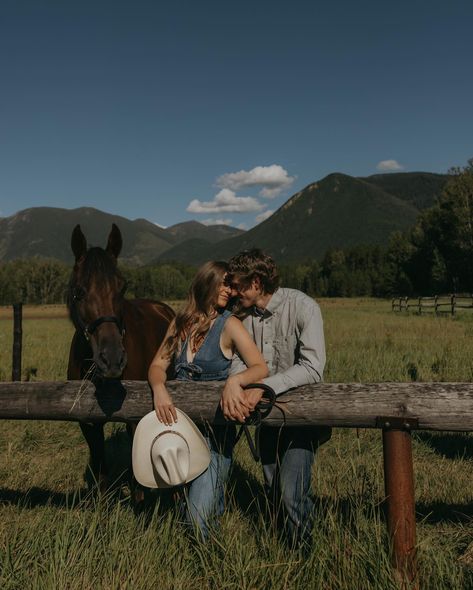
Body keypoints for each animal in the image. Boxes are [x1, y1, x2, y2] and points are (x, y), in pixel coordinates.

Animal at [67, 224, 175, 498]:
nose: (113, 359)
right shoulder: (88, 423)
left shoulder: (135, 418)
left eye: (122, 288)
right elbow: (101, 471)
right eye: (79, 291)